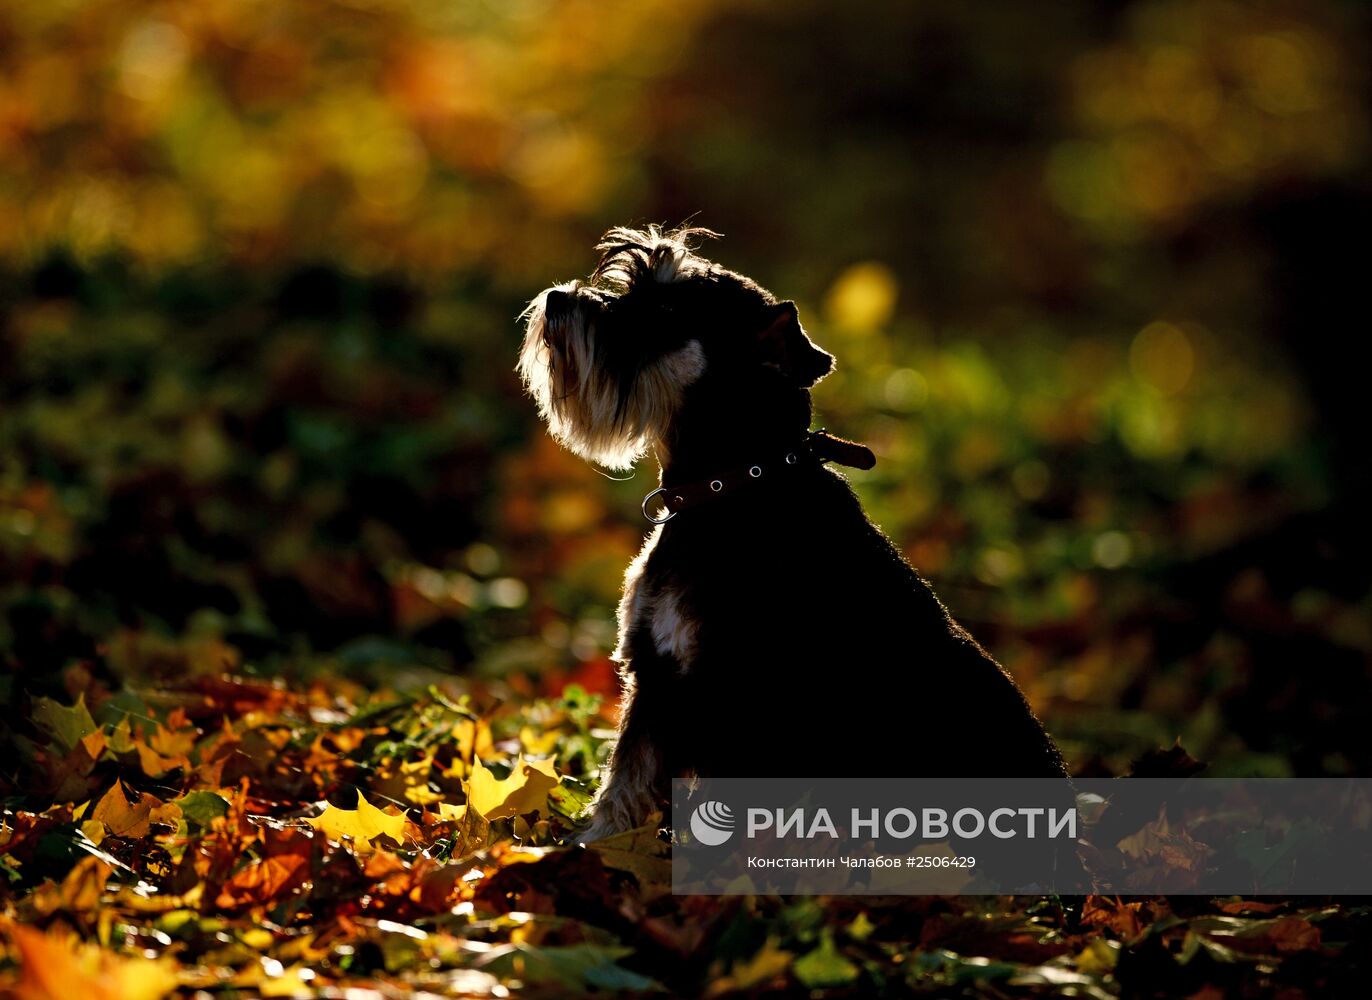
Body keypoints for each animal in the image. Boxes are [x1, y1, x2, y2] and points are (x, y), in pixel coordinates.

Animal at [518, 226, 1064, 844]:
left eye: (663, 313)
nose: (557, 300)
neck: (729, 488)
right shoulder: (654, 677)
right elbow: (625, 782)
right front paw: (591, 849)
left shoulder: (736, 695)